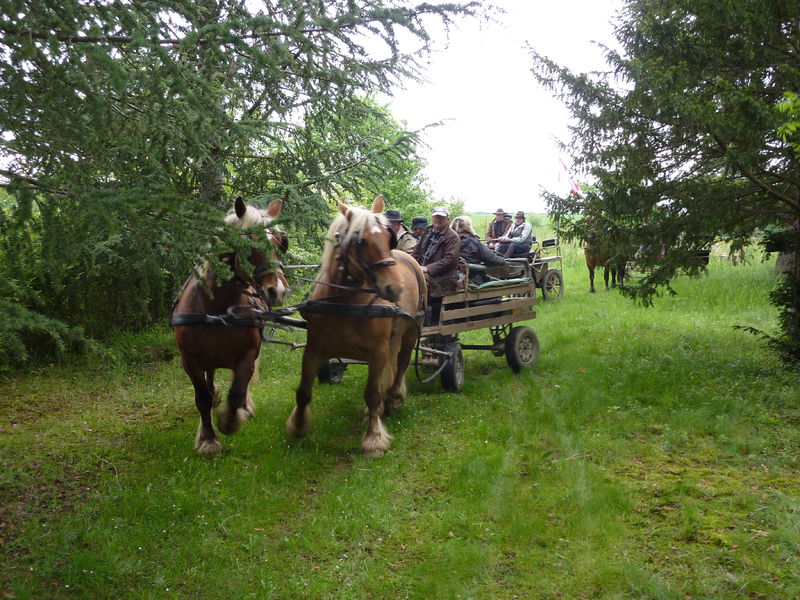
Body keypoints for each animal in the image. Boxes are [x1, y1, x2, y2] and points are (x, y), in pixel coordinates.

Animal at [172, 196, 289, 456]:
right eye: (249, 244)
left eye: (281, 243)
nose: (278, 291)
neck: (217, 308)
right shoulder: (190, 361)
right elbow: (202, 399)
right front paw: (208, 439)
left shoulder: (248, 354)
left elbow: (236, 391)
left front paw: (230, 419)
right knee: (211, 374)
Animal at [287, 195, 426, 457]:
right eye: (360, 241)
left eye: (389, 237)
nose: (395, 288)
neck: (346, 303)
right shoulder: (313, 349)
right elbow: (303, 391)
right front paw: (298, 426)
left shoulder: (377, 352)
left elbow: (372, 394)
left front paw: (374, 439)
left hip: (411, 333)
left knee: (401, 365)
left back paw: (393, 399)